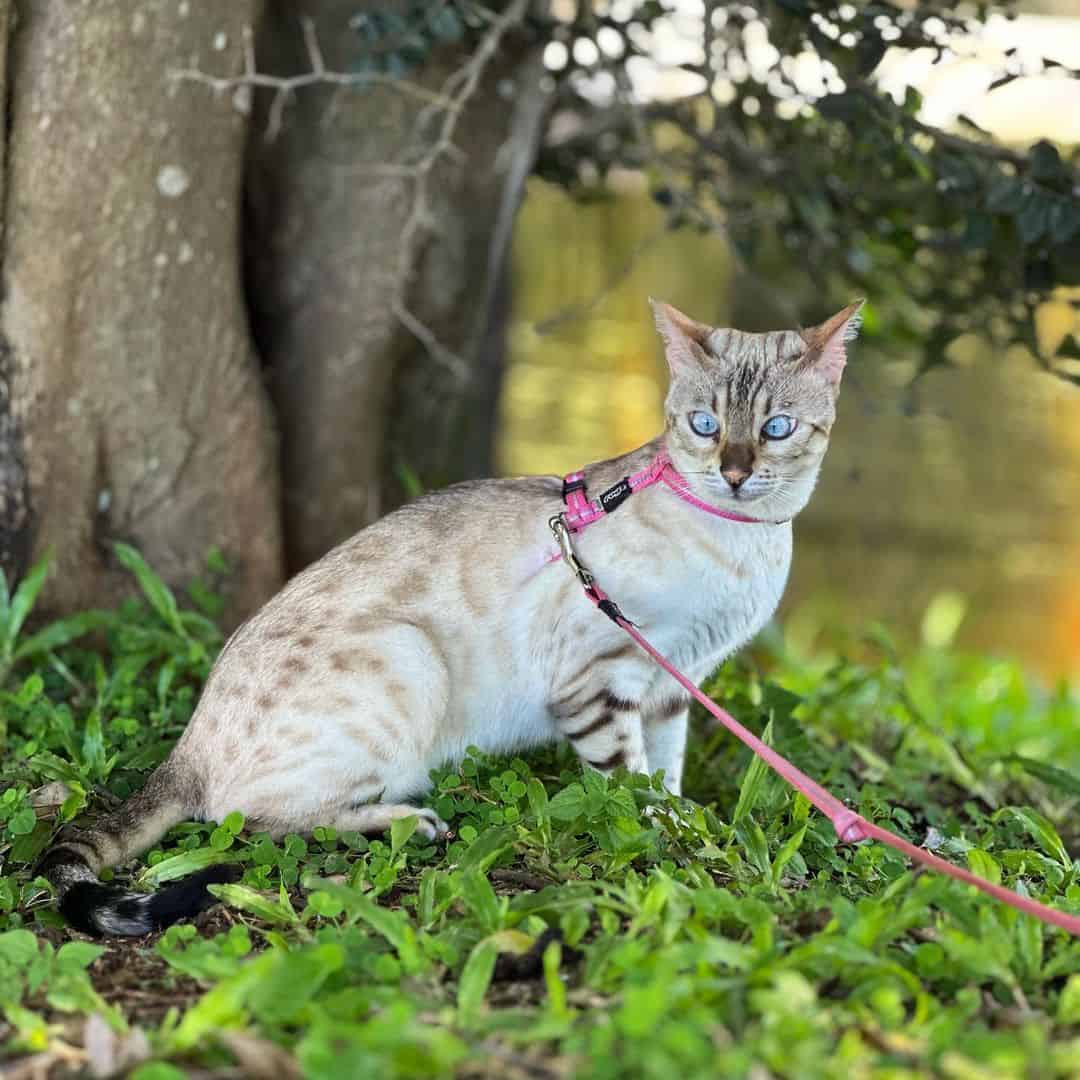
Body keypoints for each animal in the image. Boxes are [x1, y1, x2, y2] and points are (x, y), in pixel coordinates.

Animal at [38, 298, 859, 937]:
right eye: (704, 424)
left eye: (778, 429)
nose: (735, 473)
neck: (747, 544)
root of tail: (188, 745)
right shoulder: (606, 679)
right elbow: (631, 790)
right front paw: (672, 853)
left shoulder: (672, 687)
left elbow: (668, 780)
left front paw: (686, 829)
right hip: (407, 662)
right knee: (246, 815)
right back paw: (408, 820)